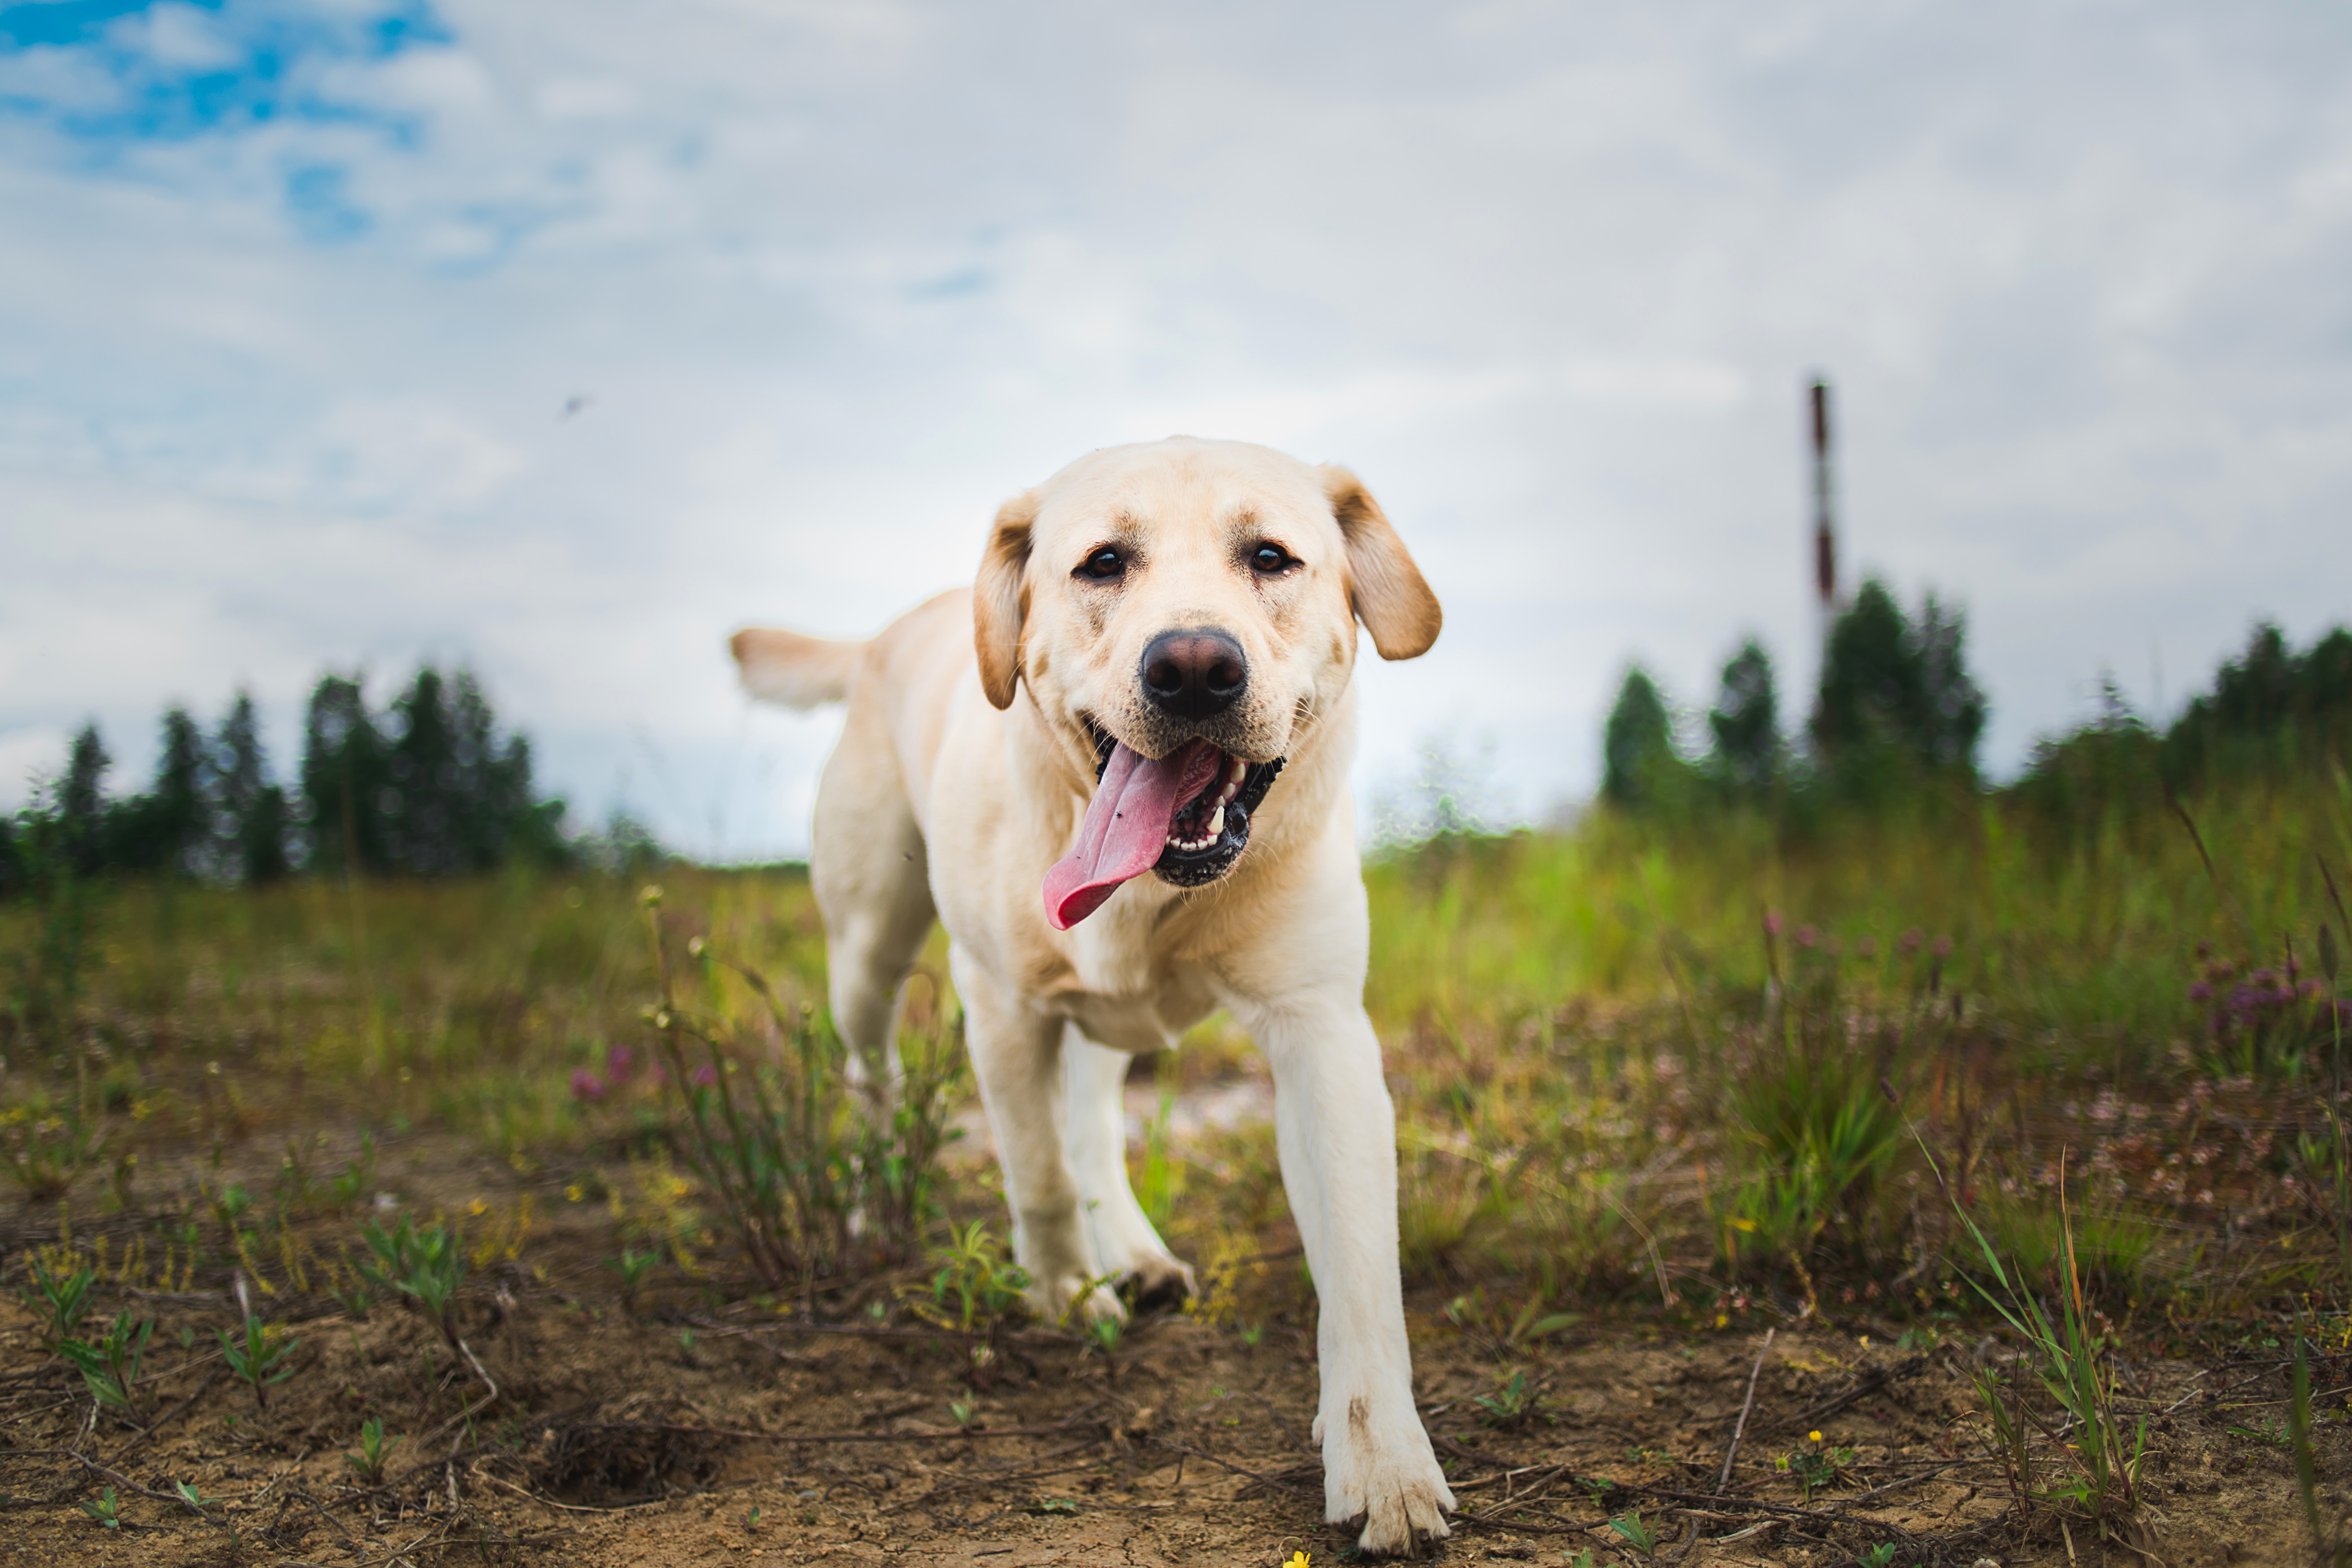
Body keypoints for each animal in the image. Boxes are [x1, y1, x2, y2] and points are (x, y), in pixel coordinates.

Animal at [734, 435, 1458, 1551]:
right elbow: (1031, 1171)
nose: (1194, 665)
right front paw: (1067, 1293)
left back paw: (1135, 1248)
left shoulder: (1322, 1029)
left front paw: (1382, 1461)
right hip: (866, 949)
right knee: (874, 1075)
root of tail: (880, 636)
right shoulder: (999, 1003)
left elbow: (1358, 1268)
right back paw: (870, 1209)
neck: (1152, 892)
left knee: (1086, 1113)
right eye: (1103, 563)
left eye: (1270, 556)